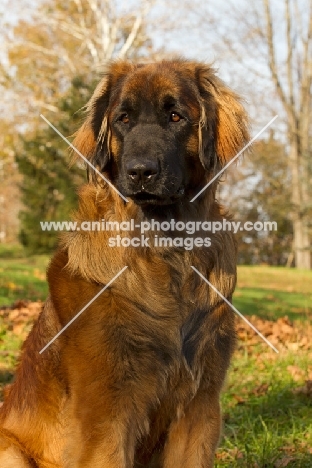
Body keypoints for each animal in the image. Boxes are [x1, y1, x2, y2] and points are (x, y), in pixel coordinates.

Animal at [0, 60, 249, 466]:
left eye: (176, 117)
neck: (165, 254)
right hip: (11, 450)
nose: (141, 171)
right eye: (124, 119)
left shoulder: (199, 407)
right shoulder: (106, 413)